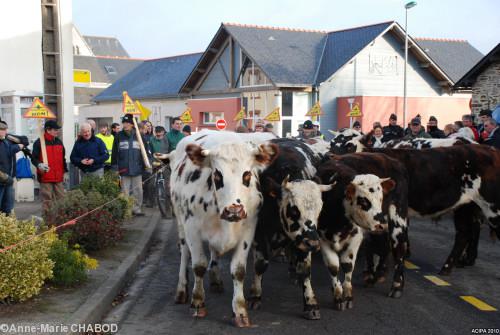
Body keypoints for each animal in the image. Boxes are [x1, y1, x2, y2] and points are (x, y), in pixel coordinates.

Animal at [158, 131, 278, 328]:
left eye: (247, 175)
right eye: (217, 175)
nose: (234, 210)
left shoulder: (248, 230)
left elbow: (238, 271)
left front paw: (240, 311)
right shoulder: (192, 229)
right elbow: (198, 266)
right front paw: (197, 303)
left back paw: (215, 280)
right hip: (181, 222)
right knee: (184, 253)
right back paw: (182, 290)